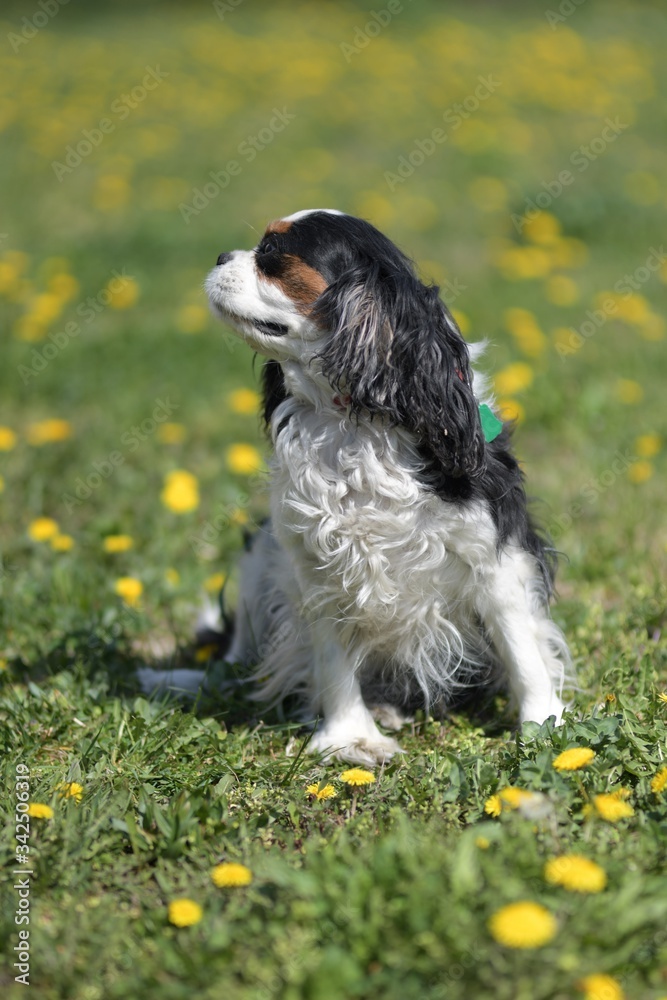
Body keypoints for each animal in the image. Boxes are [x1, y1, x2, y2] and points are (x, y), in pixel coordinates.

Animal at [138, 207, 572, 760]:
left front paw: (544, 727)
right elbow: (333, 662)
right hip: (259, 558)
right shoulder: (316, 565)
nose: (218, 256)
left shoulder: (496, 556)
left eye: (272, 255)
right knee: (234, 667)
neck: (353, 419)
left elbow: (523, 651)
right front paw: (350, 739)